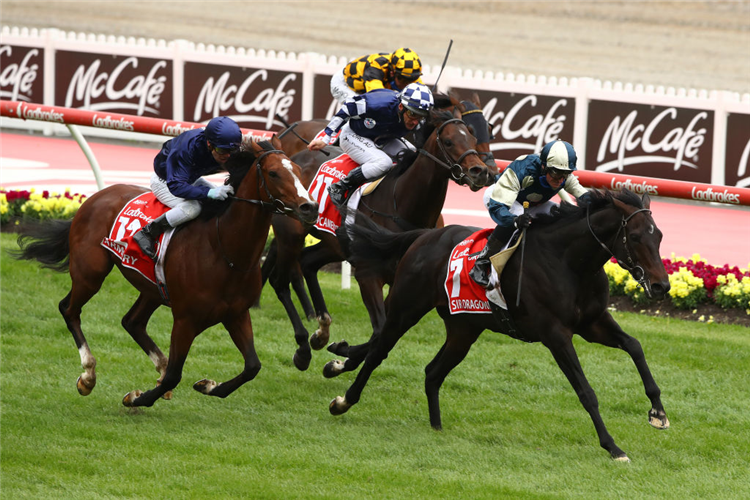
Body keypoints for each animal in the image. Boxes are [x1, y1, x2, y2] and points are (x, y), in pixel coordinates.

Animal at [13, 137, 318, 406]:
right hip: (91, 273)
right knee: (69, 309)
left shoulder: (236, 314)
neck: (224, 250)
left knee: (132, 322)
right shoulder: (185, 319)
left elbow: (252, 366)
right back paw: (88, 375)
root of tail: (94, 197)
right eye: (274, 173)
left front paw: (208, 386)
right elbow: (174, 374)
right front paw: (137, 398)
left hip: (153, 289)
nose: (310, 207)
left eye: (299, 170)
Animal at [264, 106, 494, 372]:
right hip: (290, 235)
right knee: (280, 280)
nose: (480, 172)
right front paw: (342, 357)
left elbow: (383, 331)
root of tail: (293, 159)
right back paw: (303, 349)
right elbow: (380, 330)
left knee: (308, 262)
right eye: (448, 141)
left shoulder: (400, 280)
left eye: (473, 138)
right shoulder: (368, 274)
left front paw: (341, 359)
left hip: (335, 245)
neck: (402, 201)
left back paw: (321, 330)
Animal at [326, 190, 672, 460]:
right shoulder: (556, 334)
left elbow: (635, 347)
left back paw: (435, 426)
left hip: (463, 329)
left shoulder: (593, 323)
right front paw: (613, 447)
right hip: (406, 308)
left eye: (659, 236)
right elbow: (586, 391)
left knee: (432, 371)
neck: (569, 262)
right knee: (379, 350)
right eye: (636, 237)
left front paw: (658, 413)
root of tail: (424, 235)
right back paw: (343, 399)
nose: (661, 286)